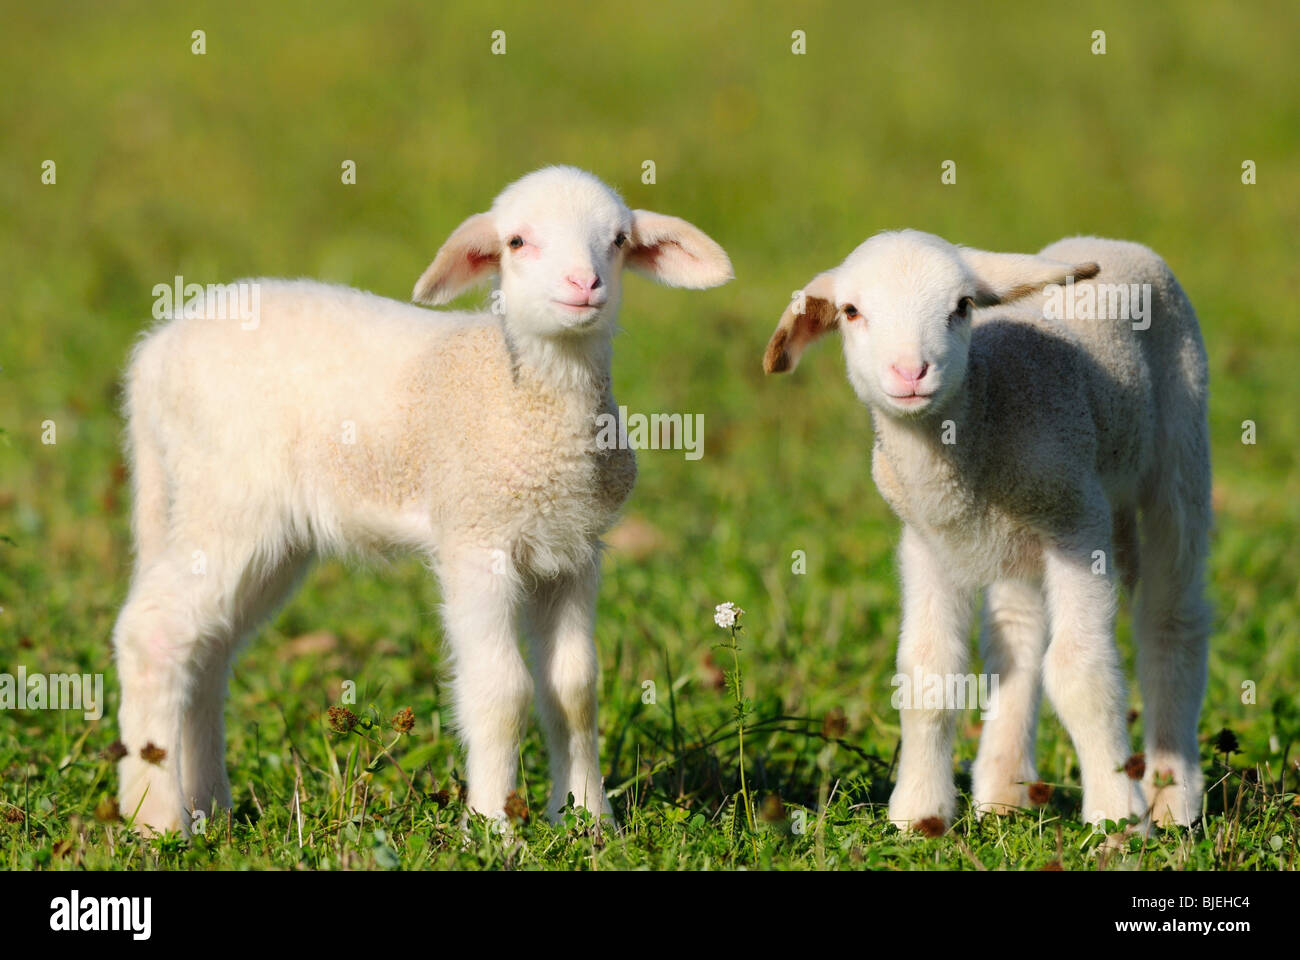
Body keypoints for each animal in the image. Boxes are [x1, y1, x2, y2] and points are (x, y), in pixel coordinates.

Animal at [114, 164, 733, 832]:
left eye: (618, 241)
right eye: (516, 242)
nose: (583, 283)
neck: (525, 396)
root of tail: (153, 354)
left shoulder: (573, 550)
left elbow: (574, 689)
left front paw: (590, 824)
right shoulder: (476, 538)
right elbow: (501, 690)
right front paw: (493, 828)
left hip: (259, 529)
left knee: (206, 649)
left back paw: (209, 808)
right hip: (226, 494)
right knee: (152, 632)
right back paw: (156, 819)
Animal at [759, 227, 1206, 827]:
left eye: (963, 306)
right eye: (851, 311)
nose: (910, 372)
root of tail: (1108, 240)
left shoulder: (1079, 523)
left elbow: (1079, 673)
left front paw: (1115, 816)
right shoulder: (927, 542)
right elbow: (927, 671)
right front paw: (918, 813)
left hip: (1180, 446)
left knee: (1171, 615)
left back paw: (1171, 794)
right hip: (1021, 543)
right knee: (1016, 635)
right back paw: (1003, 789)